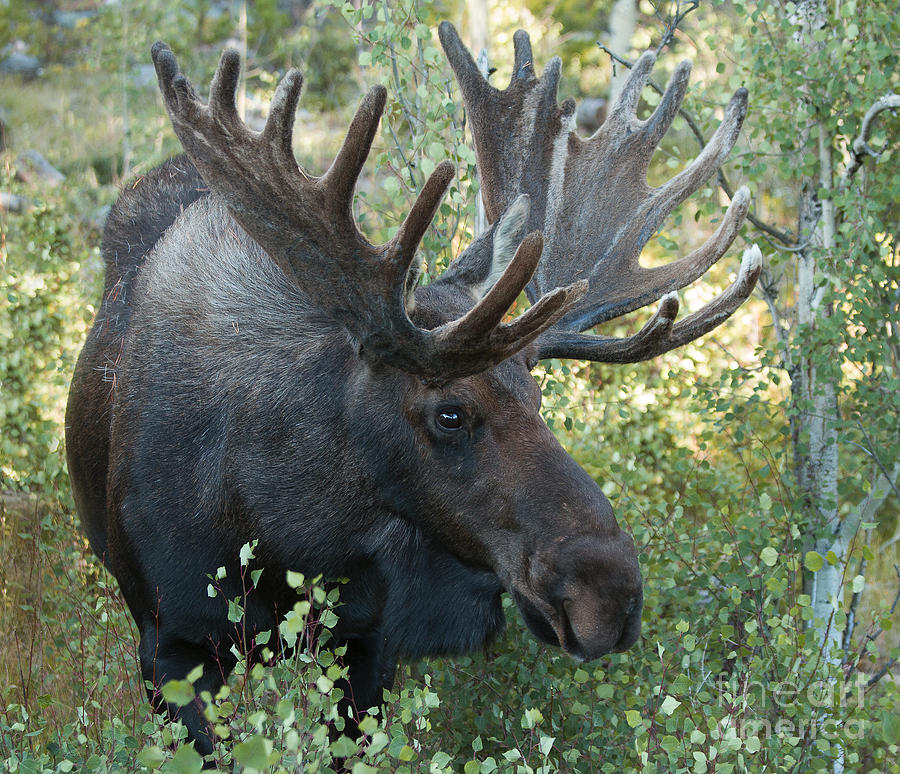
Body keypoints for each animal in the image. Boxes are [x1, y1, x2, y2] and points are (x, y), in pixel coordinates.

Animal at [65, 22, 760, 756]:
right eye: (450, 414)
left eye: (539, 398)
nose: (611, 593)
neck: (277, 527)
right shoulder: (170, 646)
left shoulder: (368, 643)